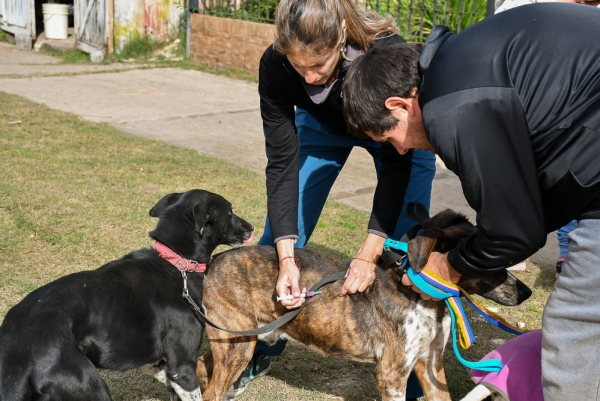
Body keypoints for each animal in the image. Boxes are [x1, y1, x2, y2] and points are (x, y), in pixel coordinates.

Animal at [0, 189, 253, 398]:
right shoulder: (182, 368)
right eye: (230, 211)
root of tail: (18, 357)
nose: (251, 227)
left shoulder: (158, 363)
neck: (176, 263)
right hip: (91, 387)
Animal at [195, 209, 532, 400]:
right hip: (238, 347)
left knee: (201, 366)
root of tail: (214, 261)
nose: (526, 292)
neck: (425, 298)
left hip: (235, 342)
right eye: (492, 264)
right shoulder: (392, 375)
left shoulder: (430, 364)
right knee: (212, 392)